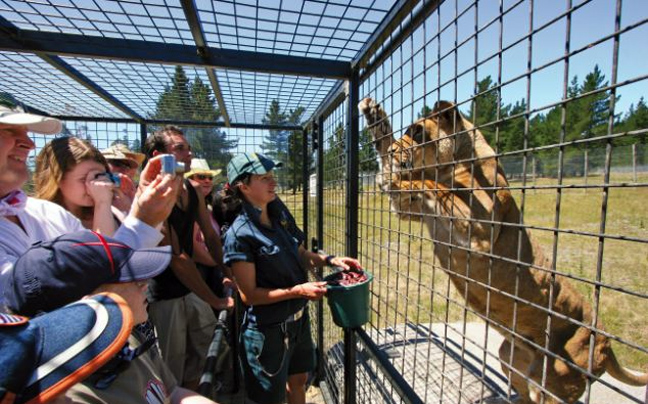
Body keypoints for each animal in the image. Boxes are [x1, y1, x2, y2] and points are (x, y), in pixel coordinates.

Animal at [360, 98, 648, 404]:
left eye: (417, 132)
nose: (396, 153)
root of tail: (606, 338)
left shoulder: (480, 231)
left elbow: (434, 186)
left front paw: (398, 176)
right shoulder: (409, 210)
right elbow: (392, 154)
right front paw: (375, 118)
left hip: (556, 381)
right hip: (511, 357)